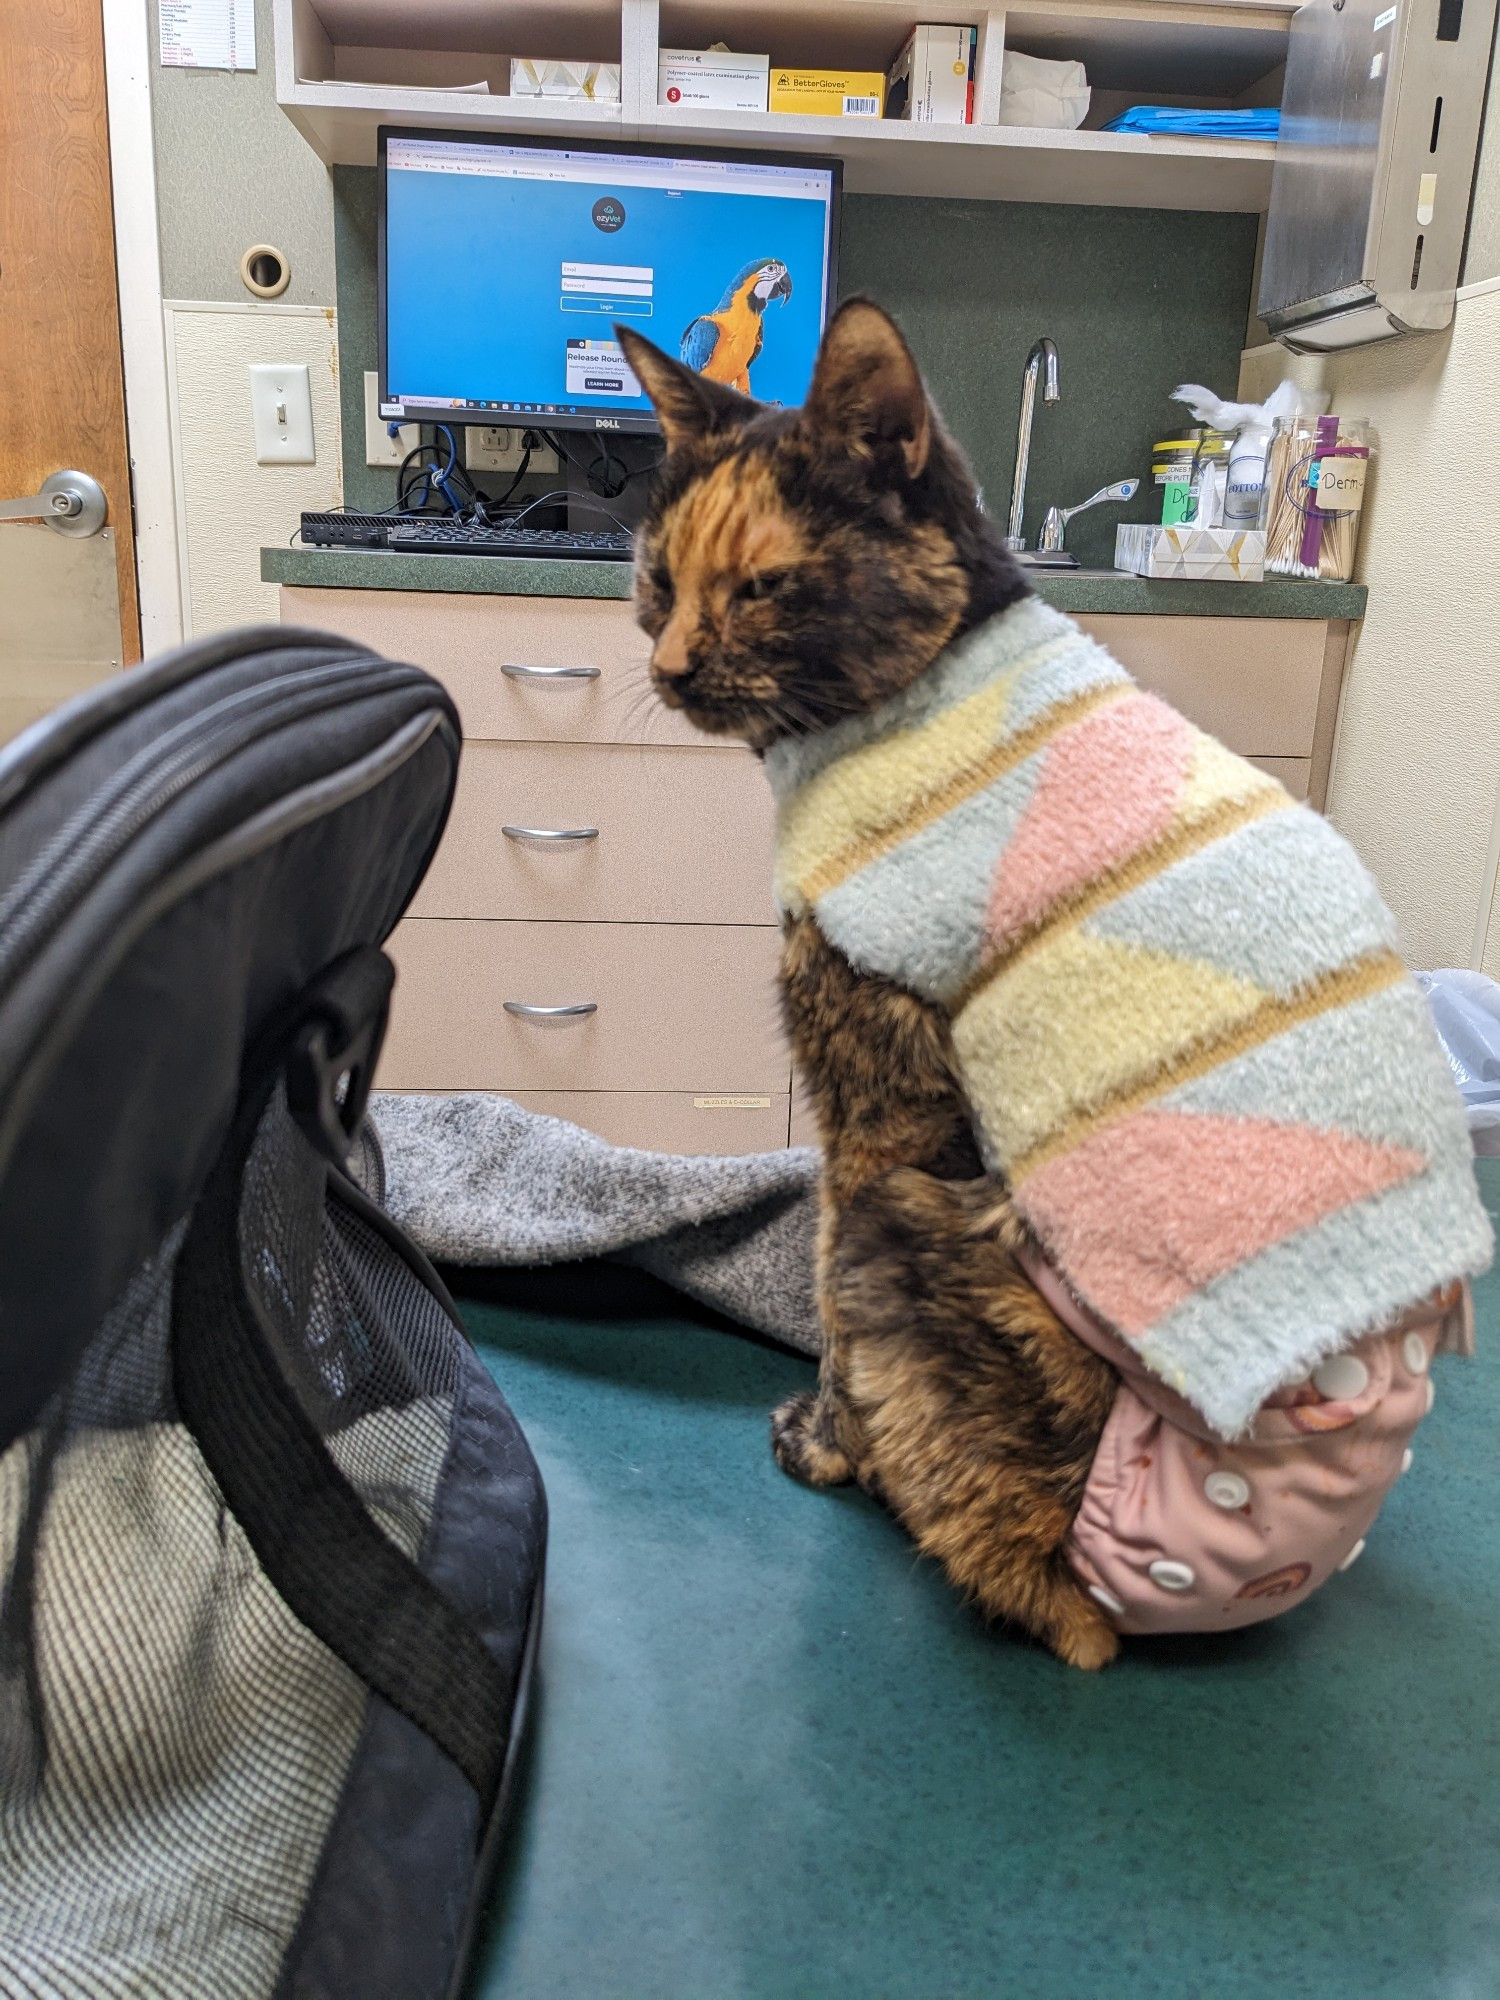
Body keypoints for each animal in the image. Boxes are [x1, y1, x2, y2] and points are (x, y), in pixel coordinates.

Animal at [616, 300, 1120, 1672]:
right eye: (656, 577)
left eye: (765, 585)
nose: (669, 665)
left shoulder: (877, 1109)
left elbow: (829, 1296)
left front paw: (829, 1440)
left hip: (911, 1210)